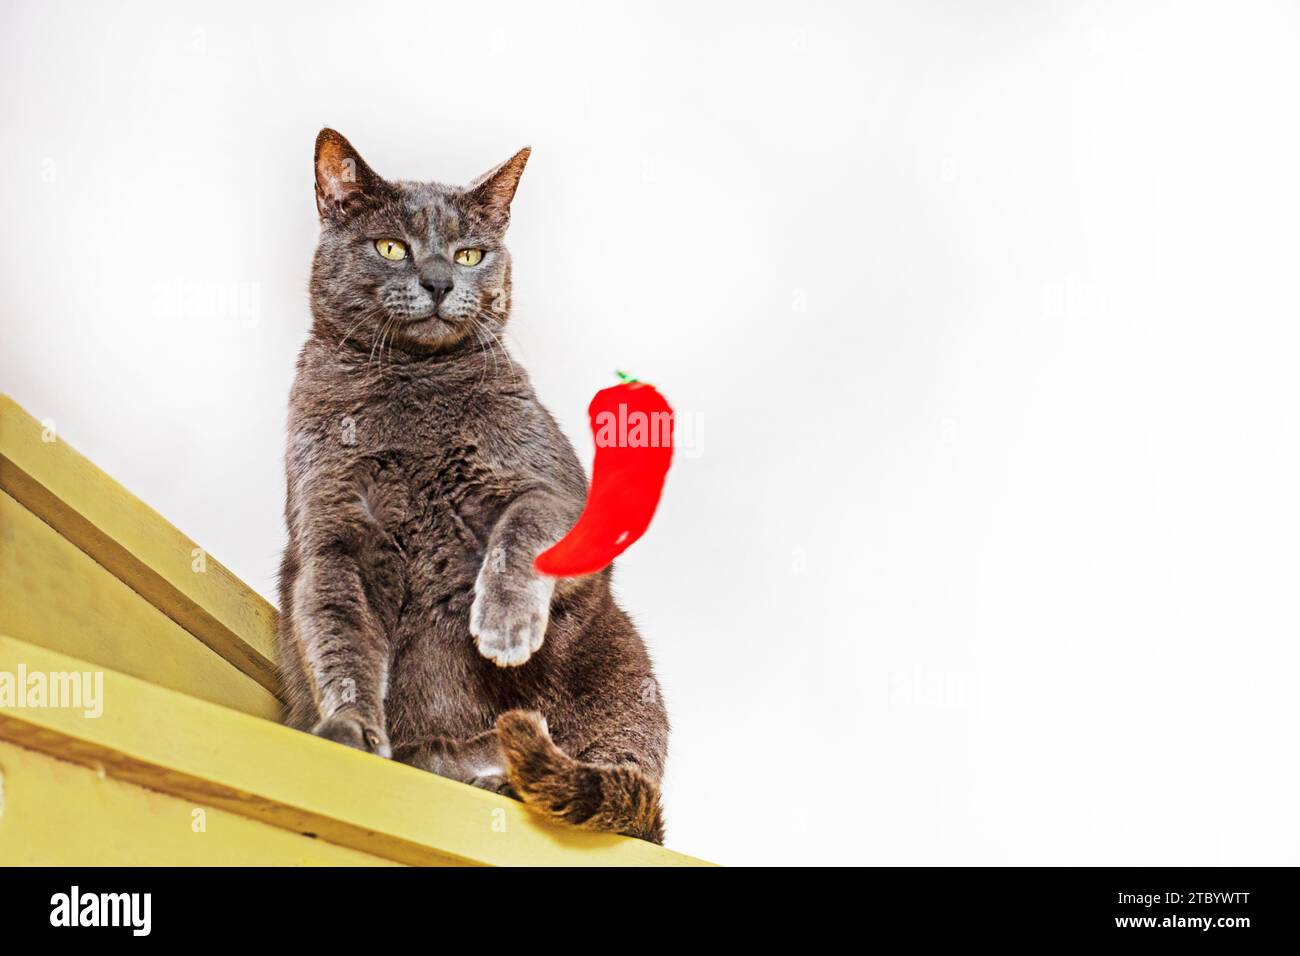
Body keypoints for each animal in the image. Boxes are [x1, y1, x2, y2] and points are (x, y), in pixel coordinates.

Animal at [282, 130, 670, 842]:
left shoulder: (556, 490)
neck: (412, 387)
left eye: (470, 254)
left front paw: (503, 627)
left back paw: (478, 765)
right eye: (391, 247)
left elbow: (520, 529)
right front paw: (349, 731)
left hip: (624, 669)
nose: (439, 280)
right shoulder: (332, 531)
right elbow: (337, 631)